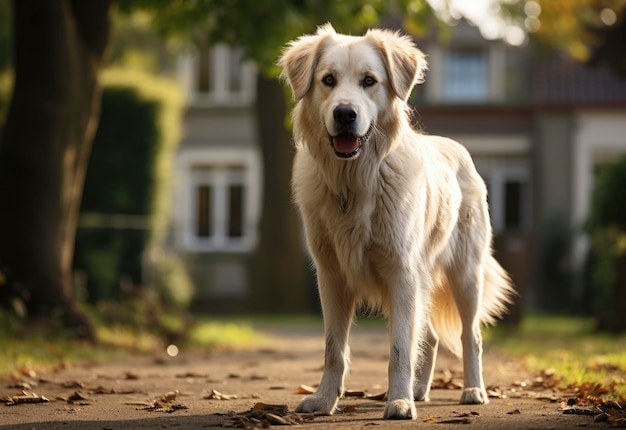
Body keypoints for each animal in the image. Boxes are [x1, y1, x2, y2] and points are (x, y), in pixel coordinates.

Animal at [278, 24, 512, 420]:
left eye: (369, 81)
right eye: (328, 80)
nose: (344, 113)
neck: (354, 180)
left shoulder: (401, 272)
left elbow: (400, 347)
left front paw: (398, 402)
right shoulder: (331, 275)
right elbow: (333, 349)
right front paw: (324, 401)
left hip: (465, 274)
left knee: (471, 336)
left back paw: (472, 390)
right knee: (430, 337)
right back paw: (420, 390)